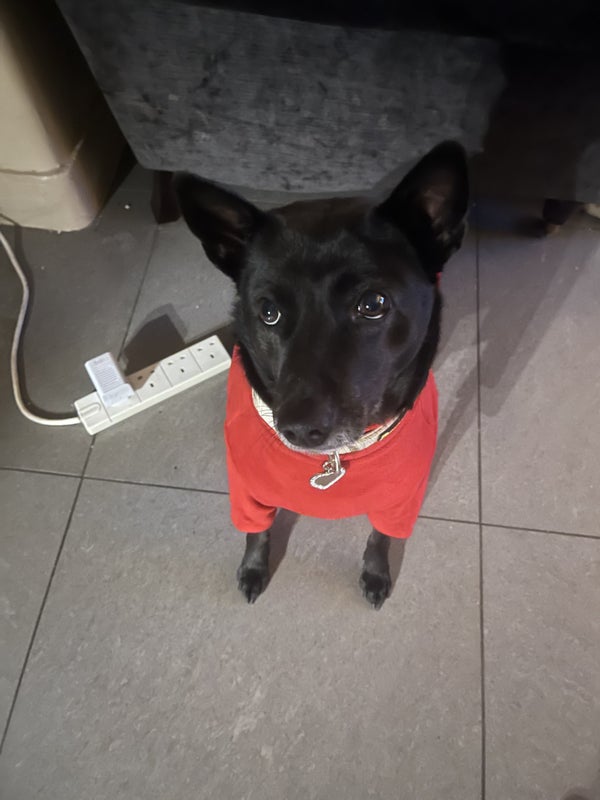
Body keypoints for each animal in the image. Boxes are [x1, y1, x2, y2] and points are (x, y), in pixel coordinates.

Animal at [174, 141, 468, 609]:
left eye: (373, 304)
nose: (299, 429)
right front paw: (253, 569)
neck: (334, 459)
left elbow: (381, 537)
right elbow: (256, 531)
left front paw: (375, 573)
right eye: (268, 312)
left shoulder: (402, 499)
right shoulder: (247, 491)